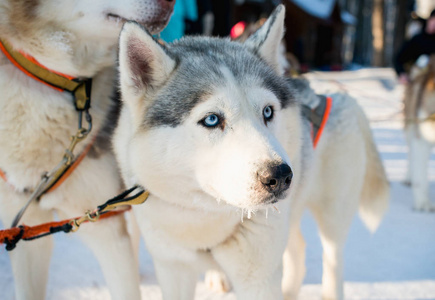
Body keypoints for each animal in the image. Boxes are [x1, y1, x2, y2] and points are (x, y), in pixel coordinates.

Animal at [114, 4, 390, 300]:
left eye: (267, 111)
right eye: (212, 119)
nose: (280, 176)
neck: (205, 219)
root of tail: (336, 95)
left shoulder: (258, 277)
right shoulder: (173, 268)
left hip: (332, 220)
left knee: (332, 262)